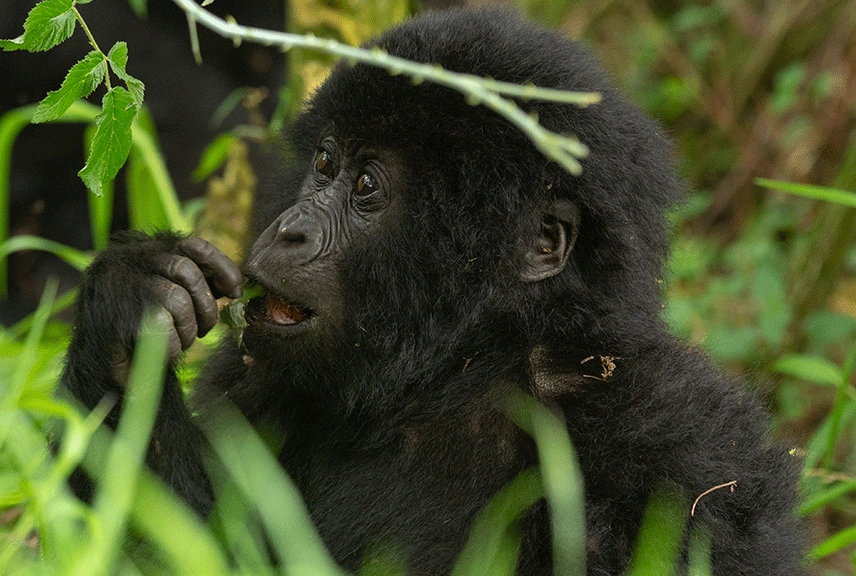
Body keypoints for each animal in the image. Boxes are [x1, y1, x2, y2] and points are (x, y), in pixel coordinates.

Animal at [63, 9, 804, 576]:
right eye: (325, 161)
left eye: (366, 186)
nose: (289, 230)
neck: (462, 370)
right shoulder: (259, 379)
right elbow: (187, 543)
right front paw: (128, 309)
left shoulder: (675, 449)